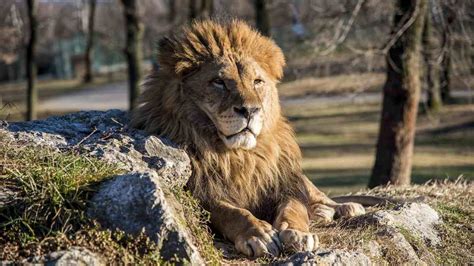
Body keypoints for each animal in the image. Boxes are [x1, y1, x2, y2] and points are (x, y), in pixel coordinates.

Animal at [131, 20, 364, 258]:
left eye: (257, 81)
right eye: (219, 82)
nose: (250, 110)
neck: (239, 156)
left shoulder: (282, 184)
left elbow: (294, 208)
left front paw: (298, 233)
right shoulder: (201, 192)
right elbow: (231, 212)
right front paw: (259, 234)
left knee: (316, 193)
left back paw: (342, 207)